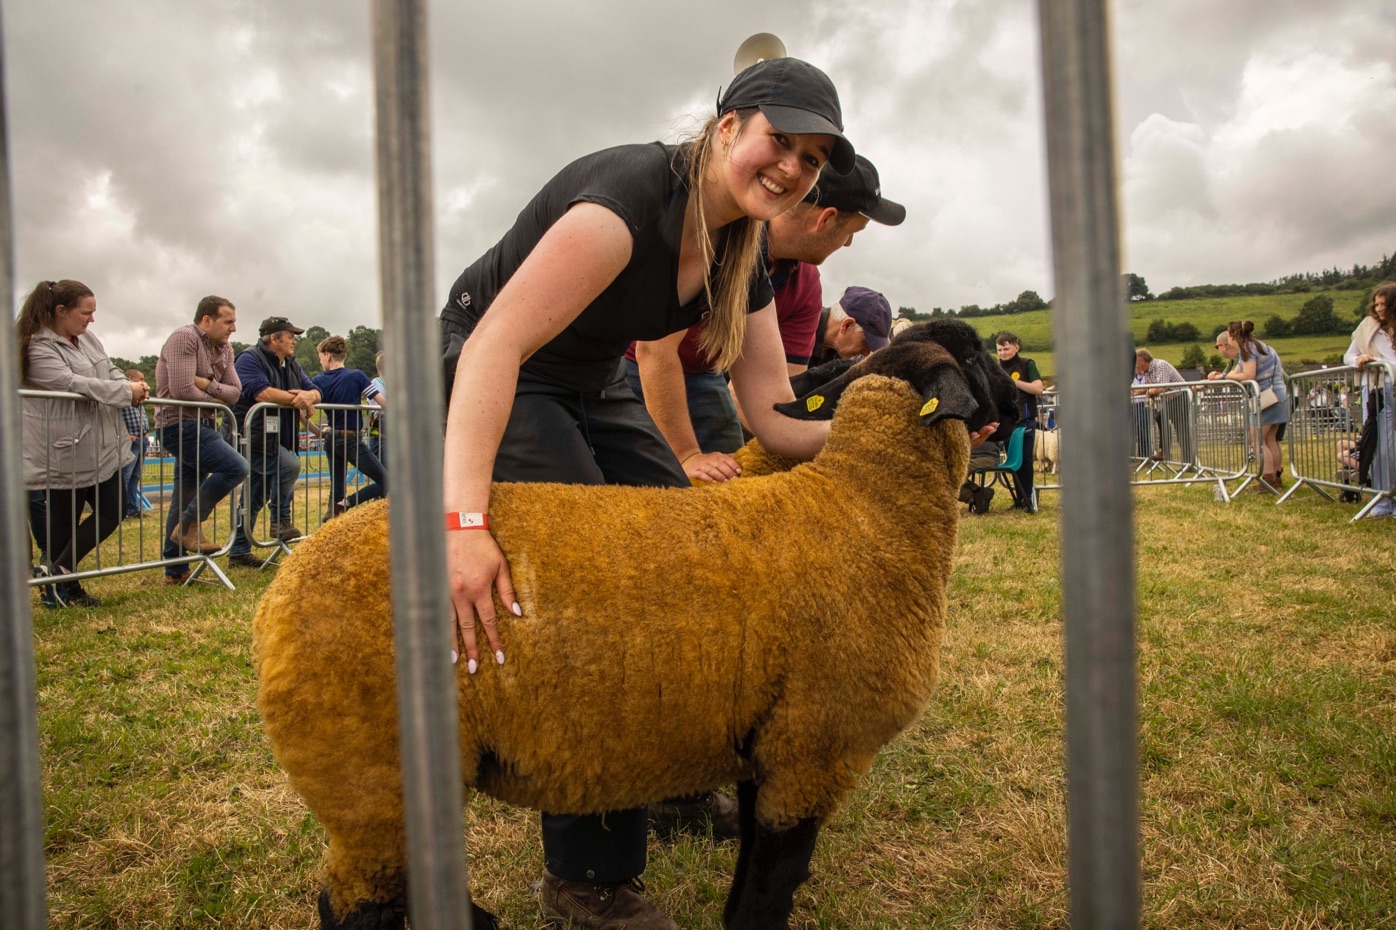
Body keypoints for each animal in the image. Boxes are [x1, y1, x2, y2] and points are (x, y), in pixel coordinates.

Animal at [253, 322, 1021, 930]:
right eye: (977, 354)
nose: (1020, 403)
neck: (865, 505)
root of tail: (276, 605)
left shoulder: (767, 748)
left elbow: (750, 872)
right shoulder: (814, 751)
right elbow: (767, 890)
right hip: (368, 778)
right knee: (354, 905)